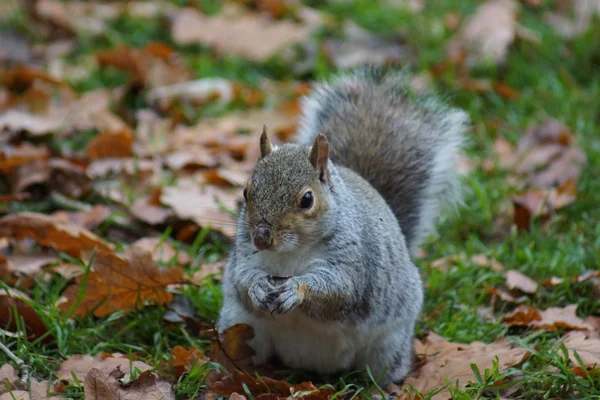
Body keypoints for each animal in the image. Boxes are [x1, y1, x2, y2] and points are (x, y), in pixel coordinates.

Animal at [218, 68, 466, 384]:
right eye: (246, 192)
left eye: (307, 199)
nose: (261, 238)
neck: (289, 255)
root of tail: (313, 364)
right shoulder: (245, 253)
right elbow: (242, 278)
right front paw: (258, 288)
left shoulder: (353, 261)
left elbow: (339, 290)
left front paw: (296, 289)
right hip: (243, 327)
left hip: (387, 346)